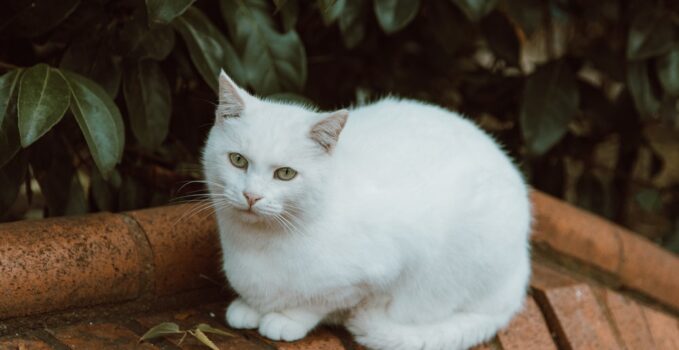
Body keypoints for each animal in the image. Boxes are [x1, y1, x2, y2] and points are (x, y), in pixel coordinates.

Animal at [205, 71, 532, 350]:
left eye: (285, 174)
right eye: (237, 160)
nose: (251, 196)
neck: (256, 243)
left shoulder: (377, 274)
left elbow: (316, 303)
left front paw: (287, 319)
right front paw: (250, 307)